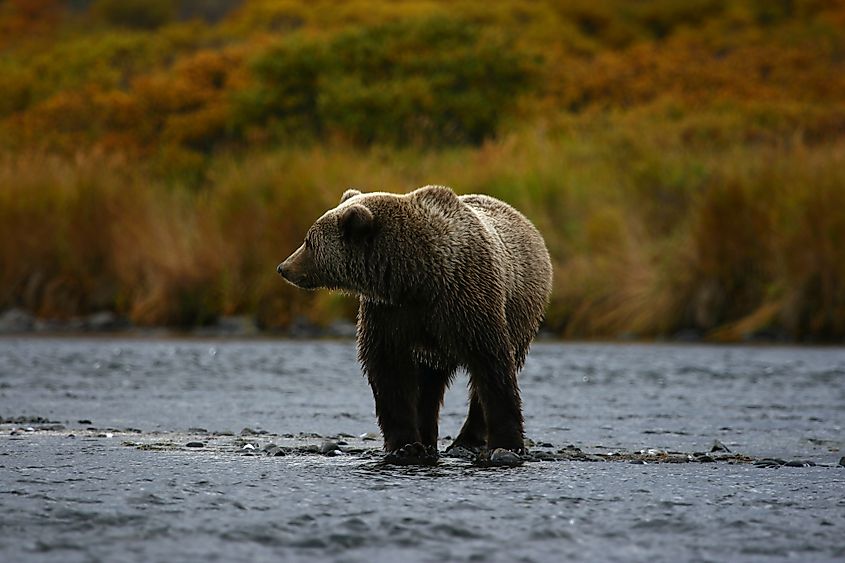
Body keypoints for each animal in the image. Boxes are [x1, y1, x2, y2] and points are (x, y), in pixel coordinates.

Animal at [277, 185, 552, 465]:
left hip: (521, 313)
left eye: (309, 241)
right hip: (433, 349)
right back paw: (429, 438)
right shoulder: (390, 312)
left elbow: (491, 367)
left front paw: (508, 445)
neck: (416, 276)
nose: (283, 267)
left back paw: (466, 440)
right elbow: (389, 371)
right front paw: (406, 445)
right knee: (429, 385)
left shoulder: (467, 301)